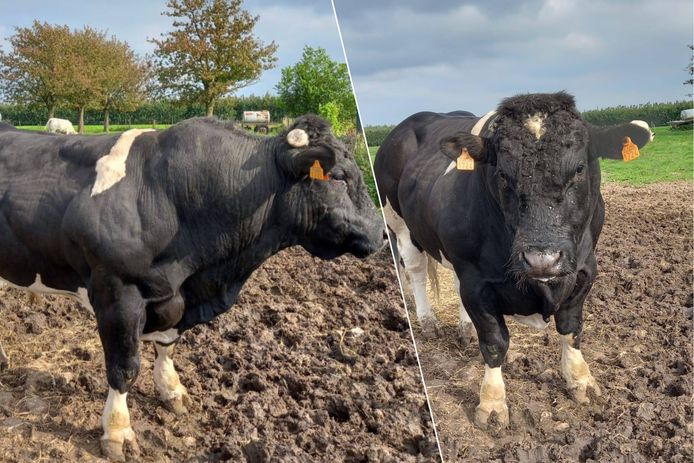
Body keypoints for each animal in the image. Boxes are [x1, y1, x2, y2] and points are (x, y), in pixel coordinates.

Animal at [0, 114, 385, 460]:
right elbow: (124, 367)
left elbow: (167, 346)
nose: (381, 233)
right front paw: (118, 431)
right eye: (337, 177)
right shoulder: (117, 293)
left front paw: (173, 390)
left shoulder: (177, 297)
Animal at [374, 92, 653, 429]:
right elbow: (495, 342)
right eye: (503, 175)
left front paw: (581, 381)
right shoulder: (476, 281)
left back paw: (465, 329)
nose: (542, 259)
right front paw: (492, 404)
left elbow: (571, 328)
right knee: (414, 268)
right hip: (398, 221)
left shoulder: (585, 269)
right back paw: (428, 322)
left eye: (578, 169)